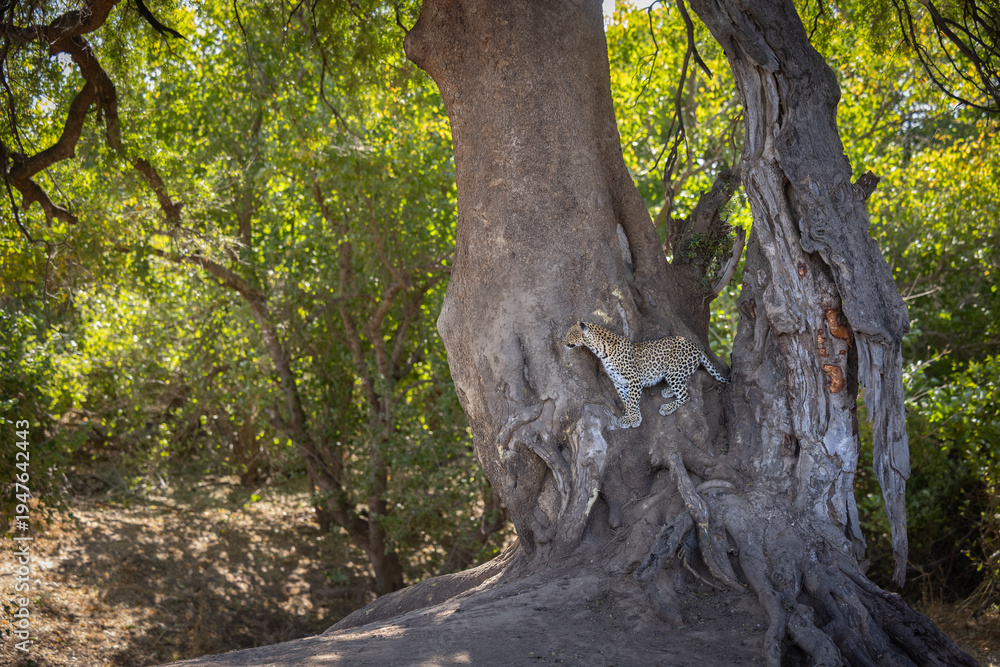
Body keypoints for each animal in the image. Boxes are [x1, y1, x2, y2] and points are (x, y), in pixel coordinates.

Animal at [563, 320, 730, 428]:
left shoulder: (634, 379)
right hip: (677, 373)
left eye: (570, 333)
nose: (563, 342)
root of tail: (698, 346)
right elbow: (625, 400)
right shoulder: (619, 382)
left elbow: (632, 400)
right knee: (685, 383)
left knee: (686, 396)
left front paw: (634, 419)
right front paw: (628, 417)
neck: (601, 351)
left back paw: (667, 407)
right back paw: (668, 391)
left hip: (674, 372)